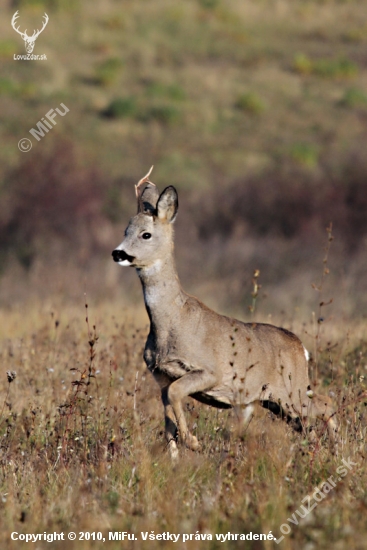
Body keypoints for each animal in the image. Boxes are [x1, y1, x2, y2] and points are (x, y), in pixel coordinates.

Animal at [113, 168, 340, 462]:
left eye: (146, 234)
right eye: (125, 230)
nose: (118, 253)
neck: (171, 322)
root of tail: (301, 349)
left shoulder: (211, 371)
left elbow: (175, 396)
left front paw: (193, 442)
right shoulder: (160, 376)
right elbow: (167, 419)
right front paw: (175, 456)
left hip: (292, 390)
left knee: (327, 404)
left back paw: (337, 450)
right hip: (274, 401)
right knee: (308, 423)